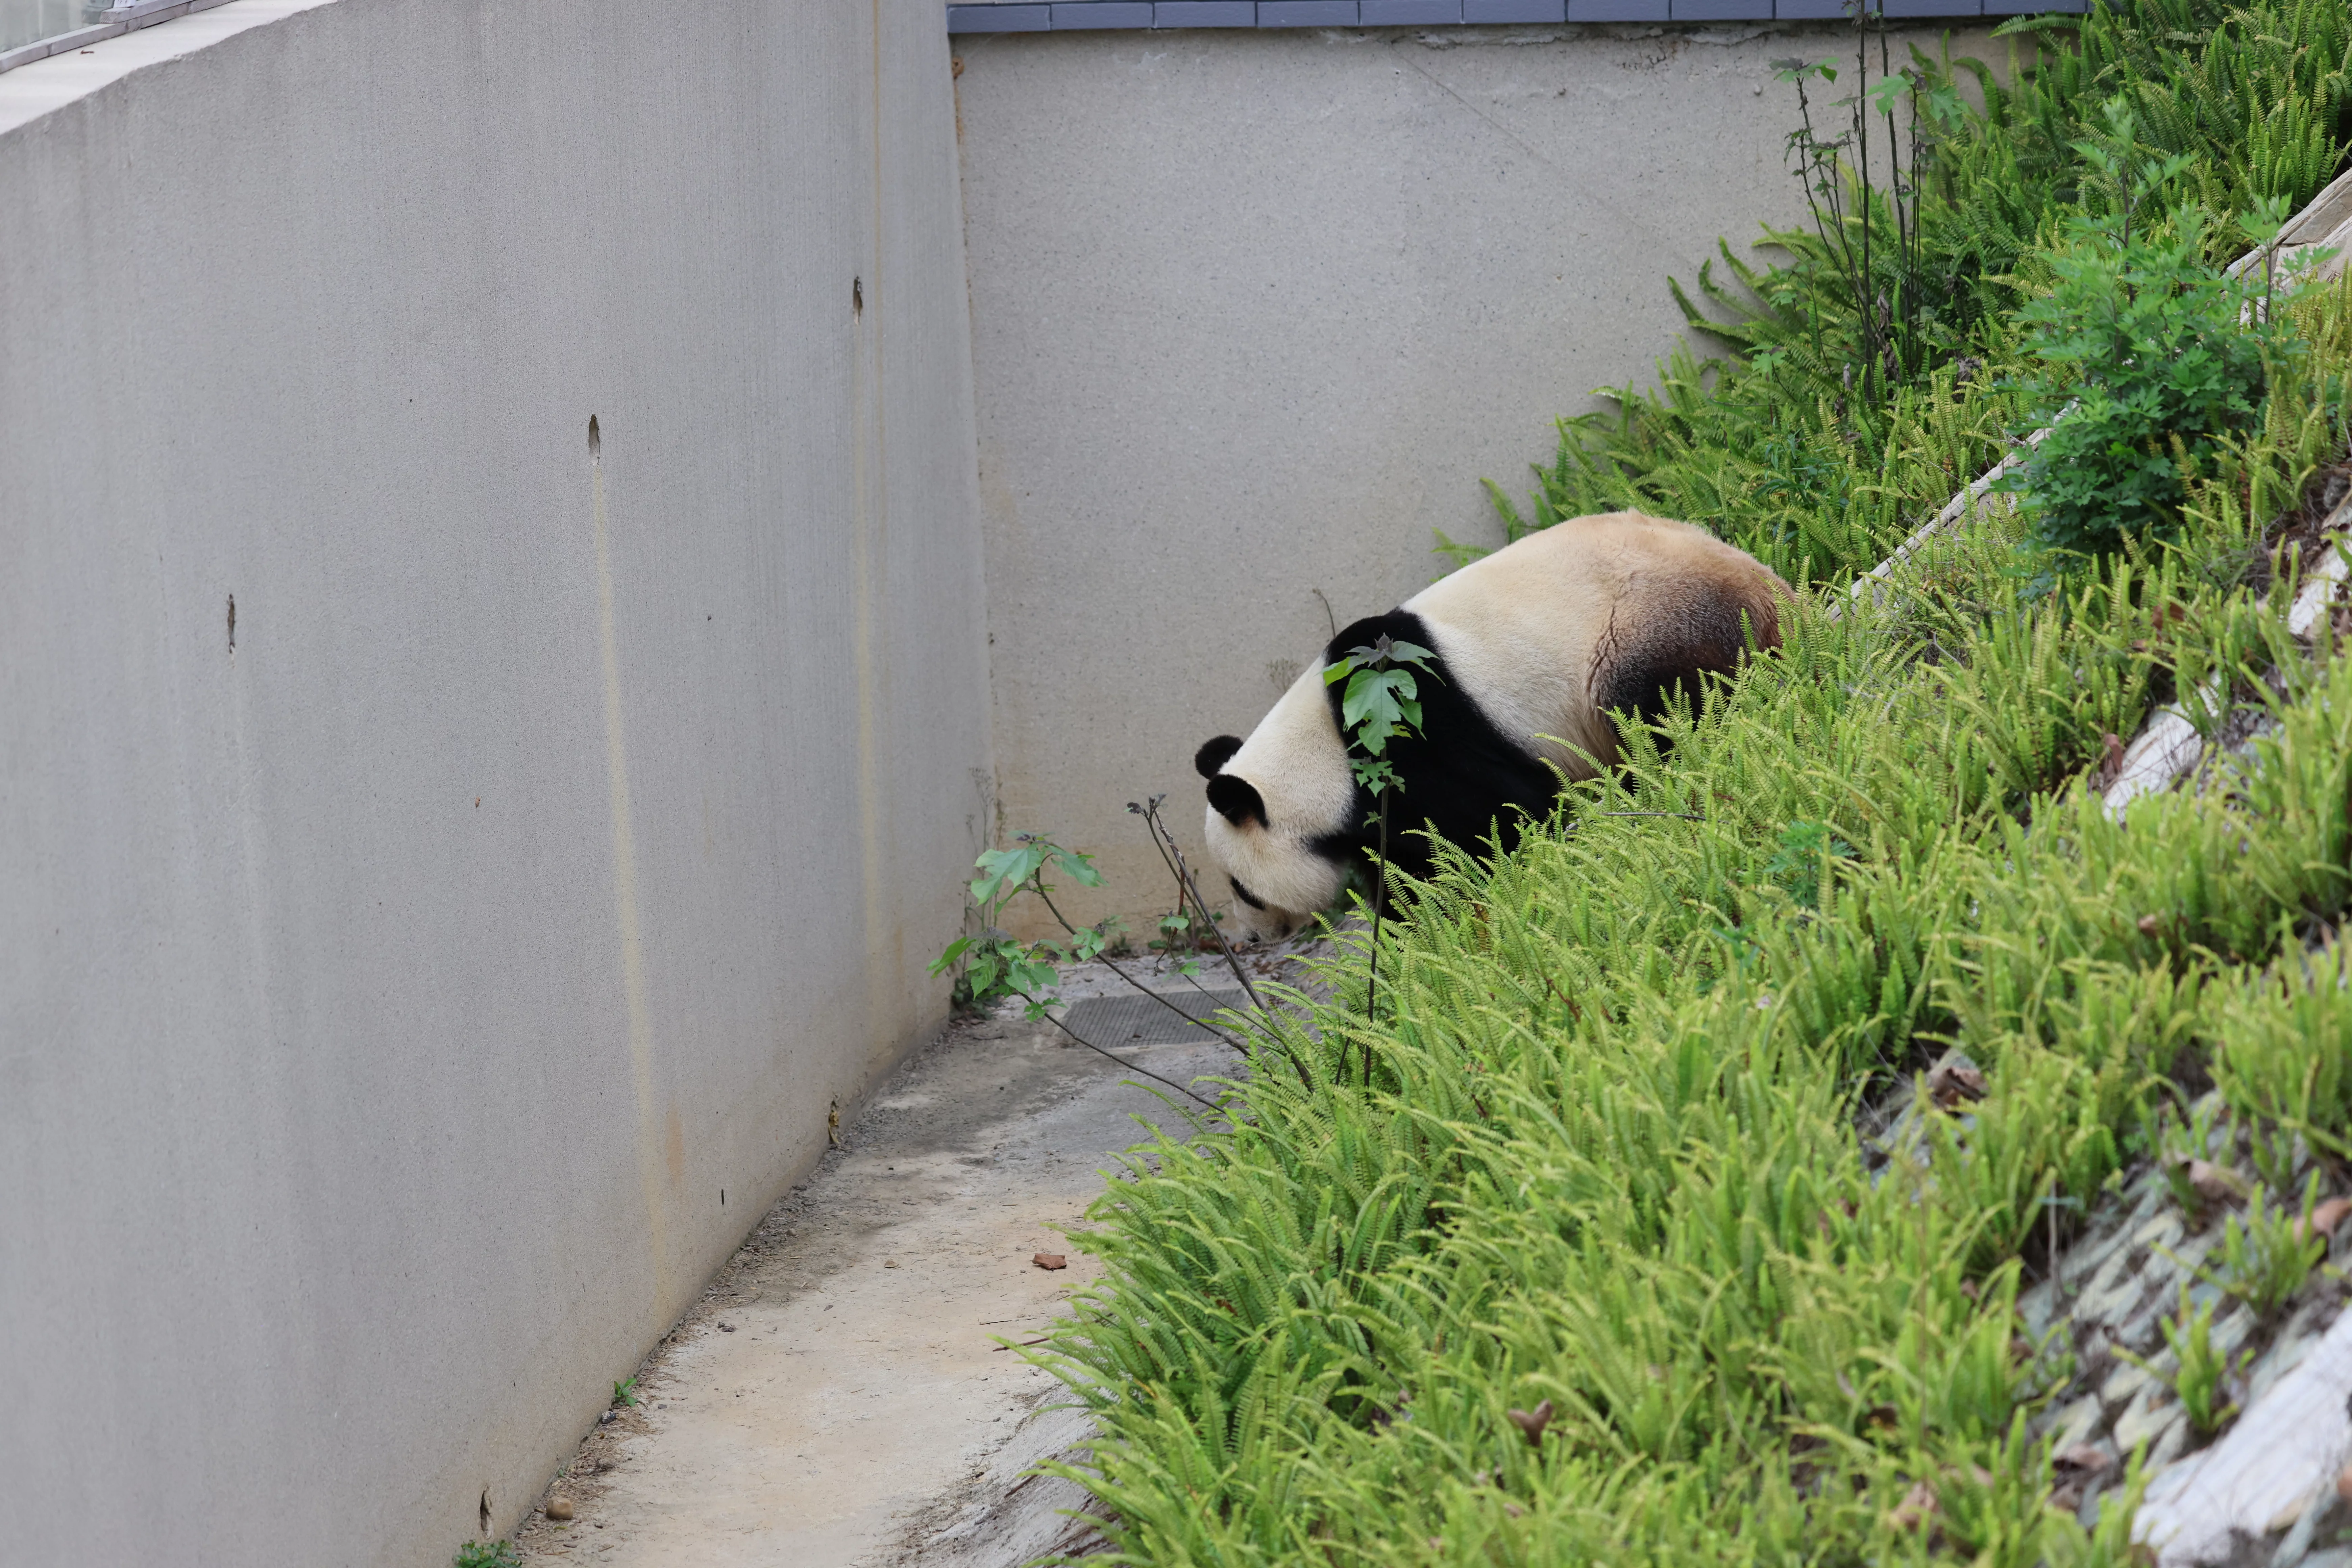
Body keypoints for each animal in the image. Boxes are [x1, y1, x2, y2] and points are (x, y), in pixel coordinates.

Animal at [1193, 510, 1789, 943]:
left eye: (1242, 888)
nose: (1253, 938)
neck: (1325, 746)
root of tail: (1779, 595)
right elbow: (1408, 870)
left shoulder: (1419, 734)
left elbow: (1506, 813)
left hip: (1652, 626)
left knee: (1661, 710)